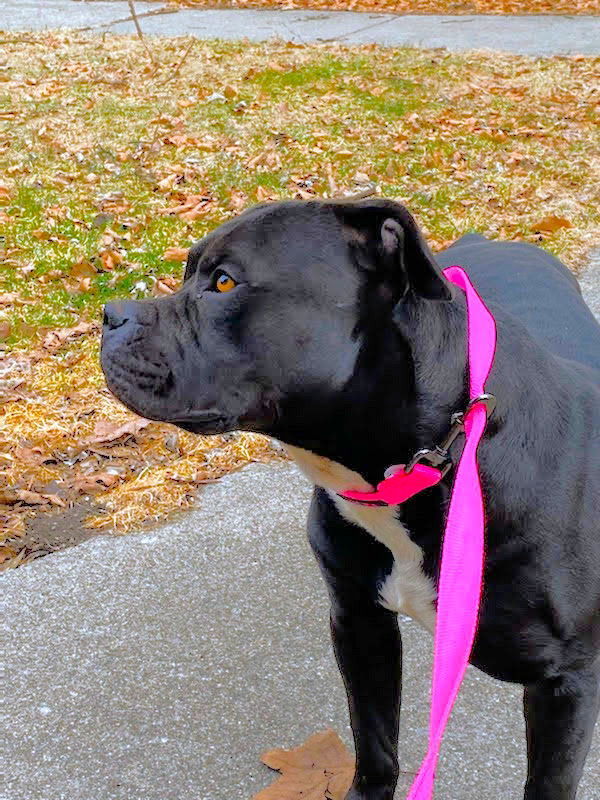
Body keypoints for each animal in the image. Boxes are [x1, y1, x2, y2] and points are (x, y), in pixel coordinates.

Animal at [101, 198, 596, 792]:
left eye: (223, 282)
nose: (109, 314)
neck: (431, 460)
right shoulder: (360, 625)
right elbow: (375, 743)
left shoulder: (566, 686)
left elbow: (549, 782)